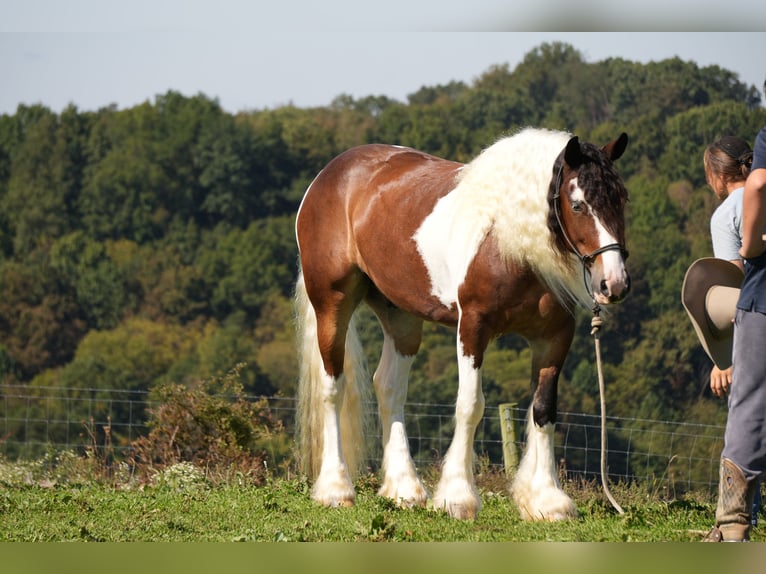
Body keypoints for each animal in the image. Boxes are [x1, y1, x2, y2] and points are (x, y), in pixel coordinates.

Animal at [294, 127, 630, 521]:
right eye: (578, 205)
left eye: (621, 199)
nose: (614, 284)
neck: (508, 243)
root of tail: (328, 176)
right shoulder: (472, 328)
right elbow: (470, 405)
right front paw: (458, 497)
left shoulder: (554, 337)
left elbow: (544, 410)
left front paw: (548, 500)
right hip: (332, 304)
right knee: (333, 387)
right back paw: (336, 489)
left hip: (401, 317)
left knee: (389, 387)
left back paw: (405, 489)